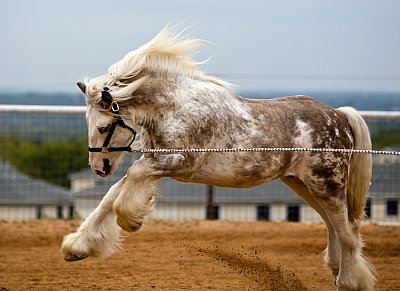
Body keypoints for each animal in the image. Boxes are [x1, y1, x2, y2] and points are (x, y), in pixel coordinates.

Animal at [61, 26, 376, 290]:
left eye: (103, 127)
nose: (99, 167)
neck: (177, 107)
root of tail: (339, 116)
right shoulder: (156, 163)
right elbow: (111, 196)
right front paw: (77, 247)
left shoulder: (177, 163)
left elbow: (127, 185)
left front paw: (131, 221)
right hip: (304, 185)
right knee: (334, 227)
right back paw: (336, 269)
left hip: (327, 185)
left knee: (348, 231)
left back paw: (349, 282)